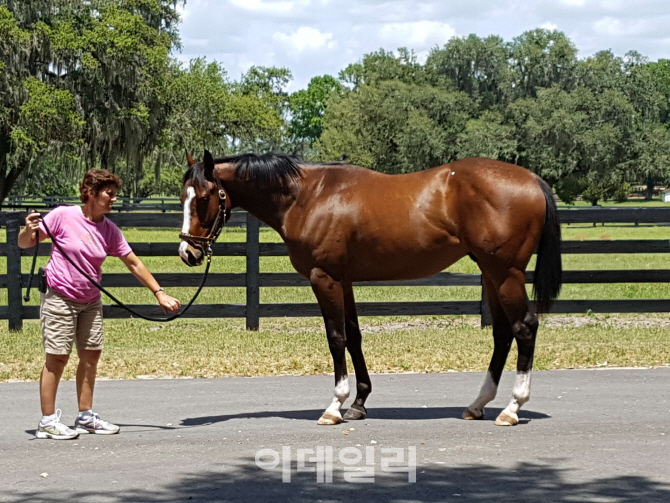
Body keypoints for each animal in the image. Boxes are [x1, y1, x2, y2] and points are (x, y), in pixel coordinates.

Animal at [178, 151, 560, 430]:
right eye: (182, 197)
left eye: (204, 198)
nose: (187, 252)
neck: (307, 196)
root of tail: (532, 179)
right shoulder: (343, 280)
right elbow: (354, 335)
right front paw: (359, 404)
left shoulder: (324, 278)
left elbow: (336, 339)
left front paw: (335, 406)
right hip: (491, 272)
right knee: (502, 333)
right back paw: (478, 405)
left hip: (505, 273)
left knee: (524, 328)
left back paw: (512, 408)